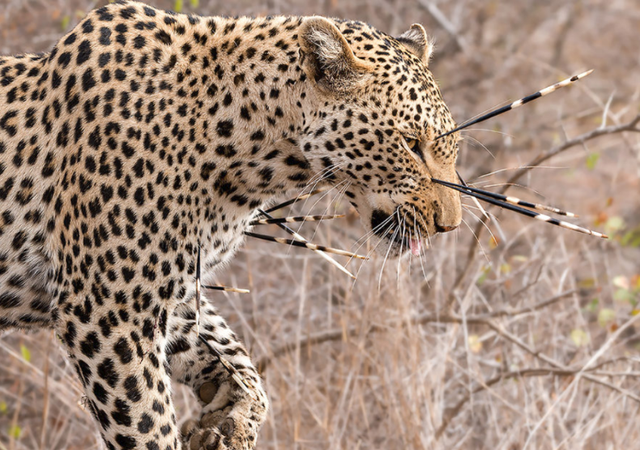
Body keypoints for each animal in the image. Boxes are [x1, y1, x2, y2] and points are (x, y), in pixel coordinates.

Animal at [0, 1, 462, 448]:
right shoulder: (109, 309)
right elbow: (148, 422)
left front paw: (227, 420)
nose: (450, 225)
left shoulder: (173, 293)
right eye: (410, 144)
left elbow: (238, 361)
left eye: (451, 145)